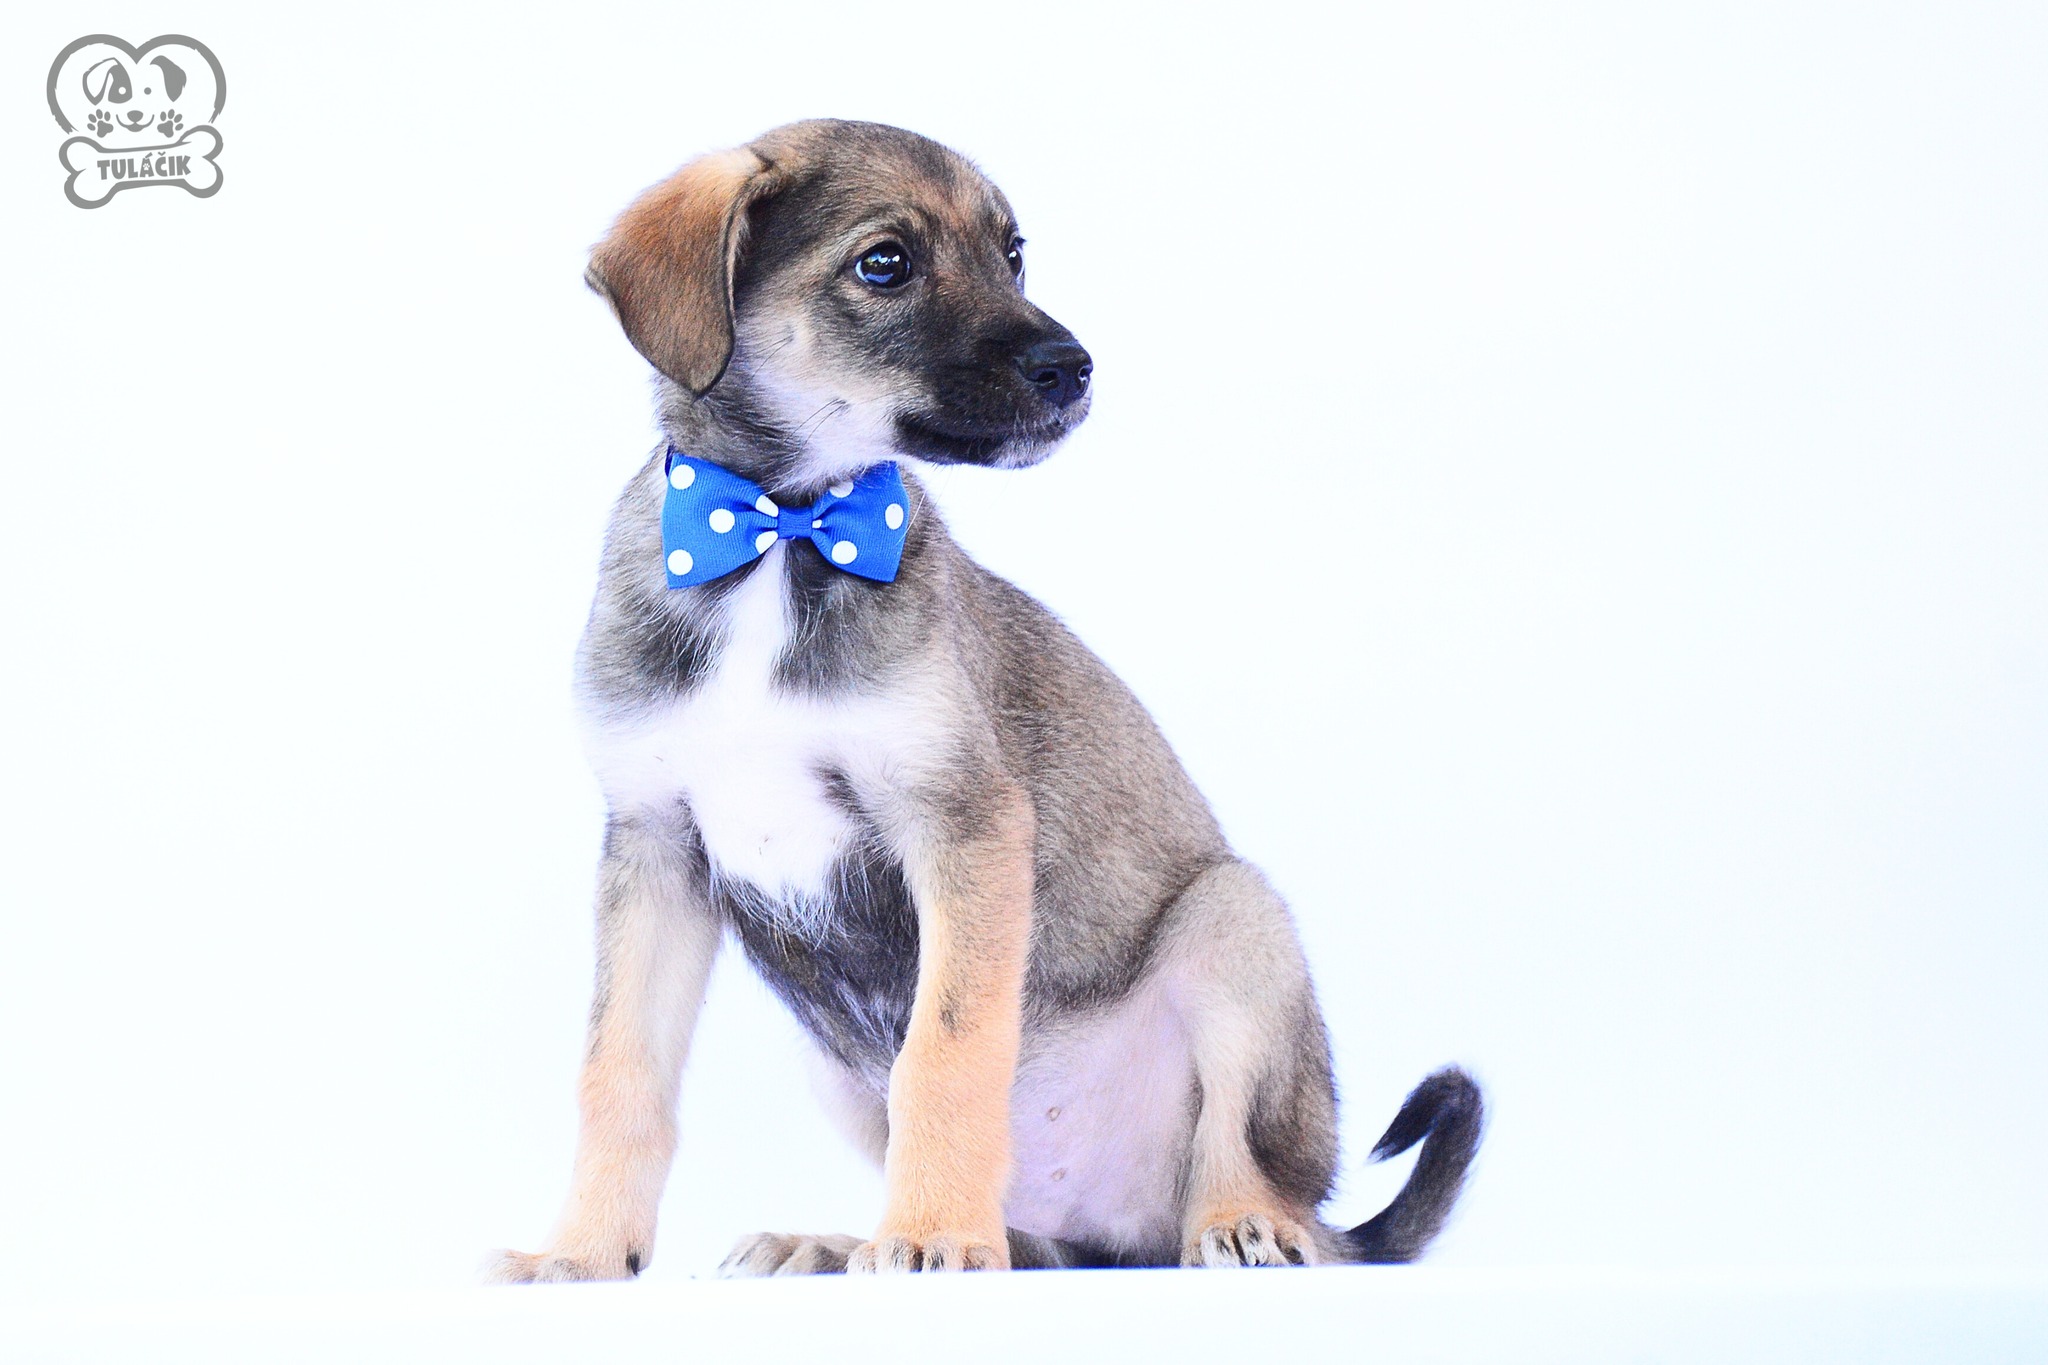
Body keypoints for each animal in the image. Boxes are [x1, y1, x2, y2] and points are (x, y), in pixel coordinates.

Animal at [489, 119, 1482, 1279]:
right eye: (884, 264)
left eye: (1012, 254)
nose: (1074, 368)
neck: (780, 536)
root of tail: (1119, 1237)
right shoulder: (652, 845)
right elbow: (619, 1074)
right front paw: (583, 1254)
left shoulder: (960, 822)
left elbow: (947, 1052)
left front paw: (929, 1236)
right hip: (835, 1065)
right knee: (1034, 1238)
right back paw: (844, 1240)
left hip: (1236, 920)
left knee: (1244, 1173)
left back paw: (1237, 1226)